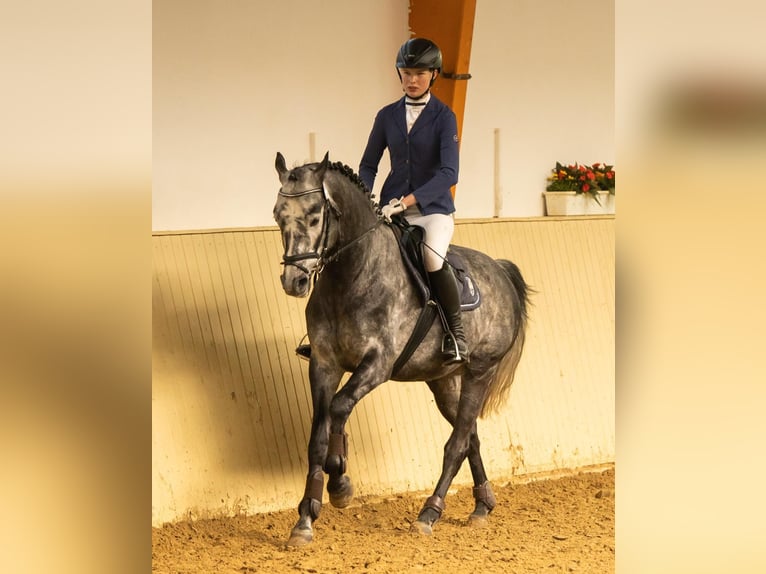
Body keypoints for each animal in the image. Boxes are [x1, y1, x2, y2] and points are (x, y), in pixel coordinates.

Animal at [272, 152, 530, 547]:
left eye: (315, 214)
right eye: (277, 214)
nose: (294, 281)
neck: (351, 275)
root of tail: (500, 271)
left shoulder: (377, 364)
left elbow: (339, 407)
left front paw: (340, 484)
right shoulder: (324, 364)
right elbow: (318, 433)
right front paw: (305, 520)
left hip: (479, 372)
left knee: (457, 443)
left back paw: (429, 513)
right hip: (443, 381)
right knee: (470, 436)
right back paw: (482, 505)